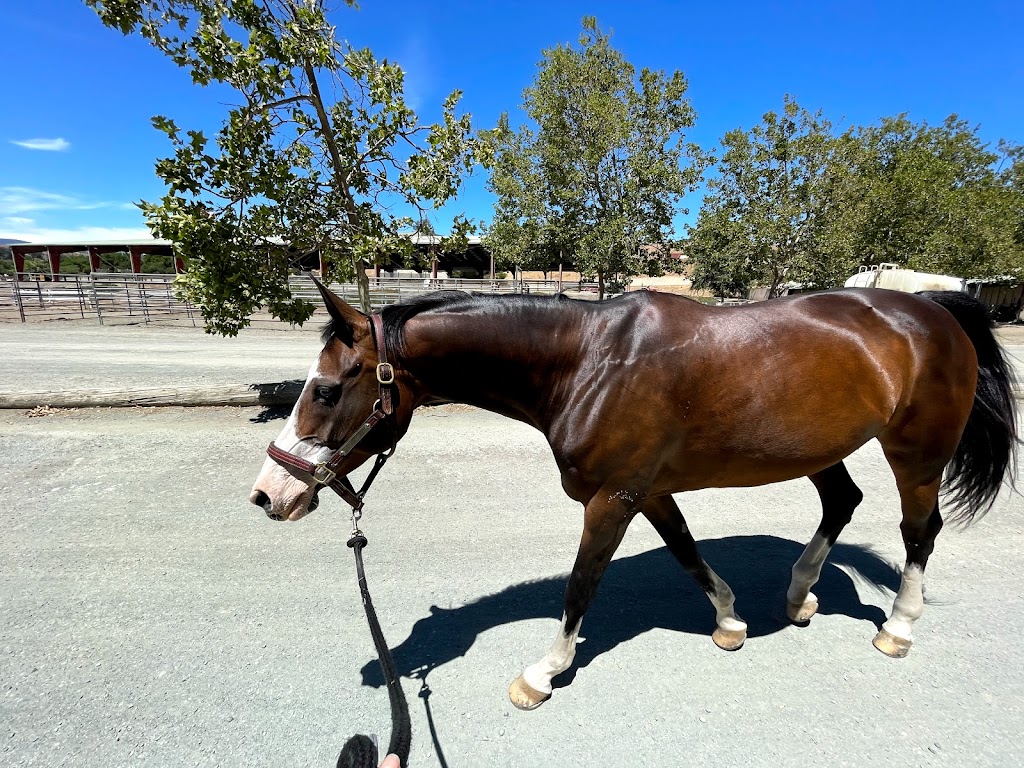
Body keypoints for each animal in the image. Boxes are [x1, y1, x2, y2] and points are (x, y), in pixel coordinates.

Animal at [249, 280, 1015, 712]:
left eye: (326, 390)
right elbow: (685, 551)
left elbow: (582, 586)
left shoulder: (612, 498)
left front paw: (541, 673)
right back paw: (798, 596)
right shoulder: (646, 491)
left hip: (916, 454)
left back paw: (899, 627)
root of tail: (933, 313)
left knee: (920, 531)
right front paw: (730, 621)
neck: (586, 362)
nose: (268, 494)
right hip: (820, 451)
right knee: (842, 504)